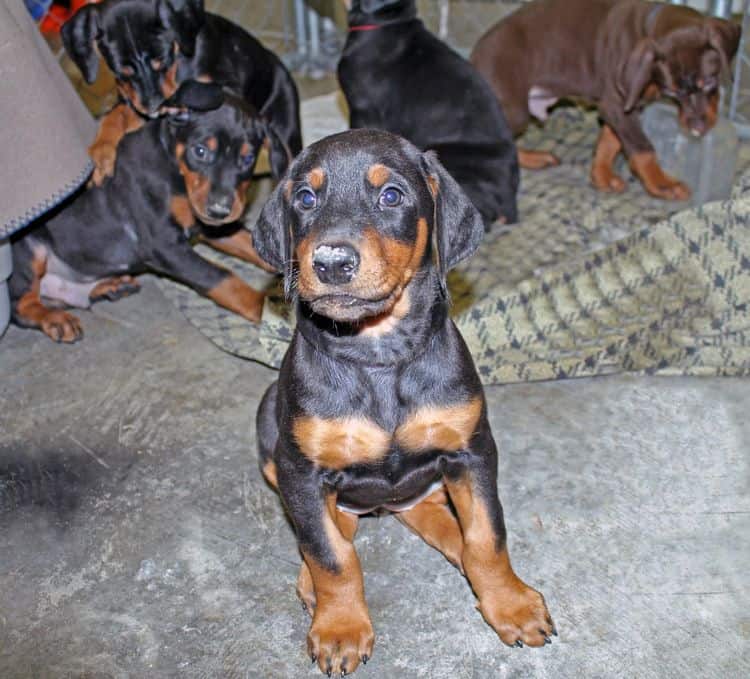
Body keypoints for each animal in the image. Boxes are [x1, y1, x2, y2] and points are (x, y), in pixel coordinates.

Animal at [8, 81, 274, 342]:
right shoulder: (163, 245)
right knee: (20, 307)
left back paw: (111, 287)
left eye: (248, 158)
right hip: (29, 252)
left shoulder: (208, 226)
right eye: (200, 151)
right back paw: (56, 320)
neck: (173, 167)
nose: (220, 211)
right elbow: (220, 276)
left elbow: (250, 242)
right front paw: (266, 310)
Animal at [62, 0, 302, 186]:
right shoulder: (134, 101)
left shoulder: (226, 84)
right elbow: (116, 113)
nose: (154, 107)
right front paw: (101, 152)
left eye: (163, 59)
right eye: (121, 72)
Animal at [256, 127, 556, 676]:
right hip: (269, 424)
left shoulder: (472, 450)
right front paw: (340, 627)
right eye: (305, 199)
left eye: (391, 196)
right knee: (332, 527)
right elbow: (331, 555)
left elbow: (487, 536)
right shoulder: (299, 469)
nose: (330, 263)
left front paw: (511, 605)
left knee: (435, 517)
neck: (379, 353)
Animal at [472, 0, 744, 201]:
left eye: (709, 82)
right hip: (513, 110)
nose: (697, 129)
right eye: (673, 92)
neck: (647, 25)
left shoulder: (620, 107)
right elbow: (642, 147)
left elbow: (609, 140)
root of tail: (473, 59)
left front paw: (601, 177)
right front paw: (661, 184)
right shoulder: (617, 104)